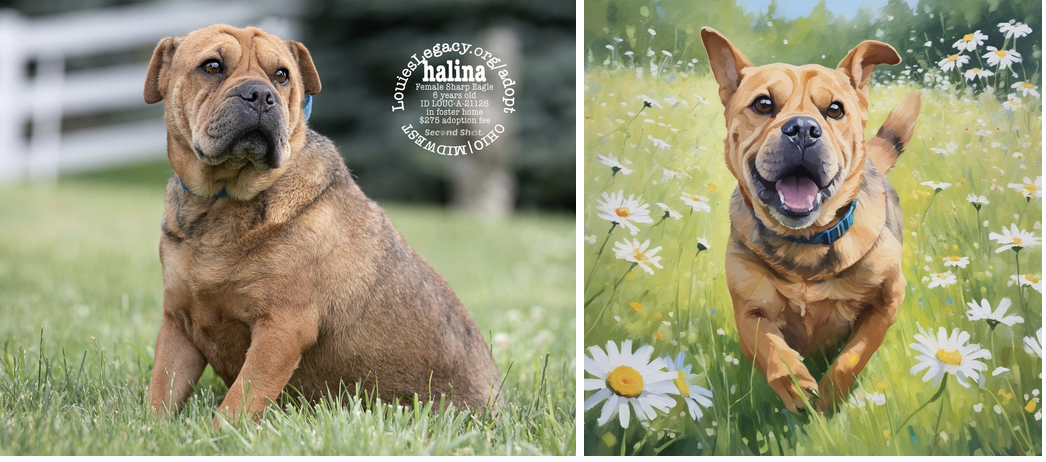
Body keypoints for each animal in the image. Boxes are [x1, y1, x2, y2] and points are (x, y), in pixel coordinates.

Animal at [145, 25, 499, 428]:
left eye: (281, 75)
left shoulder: (281, 328)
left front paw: (222, 435)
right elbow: (161, 390)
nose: (261, 94)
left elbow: (240, 400)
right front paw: (152, 429)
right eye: (212, 66)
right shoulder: (178, 323)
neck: (221, 201)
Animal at [698, 27, 920, 413]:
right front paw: (797, 385)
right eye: (763, 104)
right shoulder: (749, 310)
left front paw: (830, 397)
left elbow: (854, 355)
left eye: (835, 109)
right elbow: (771, 348)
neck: (805, 242)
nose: (802, 128)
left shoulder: (888, 301)